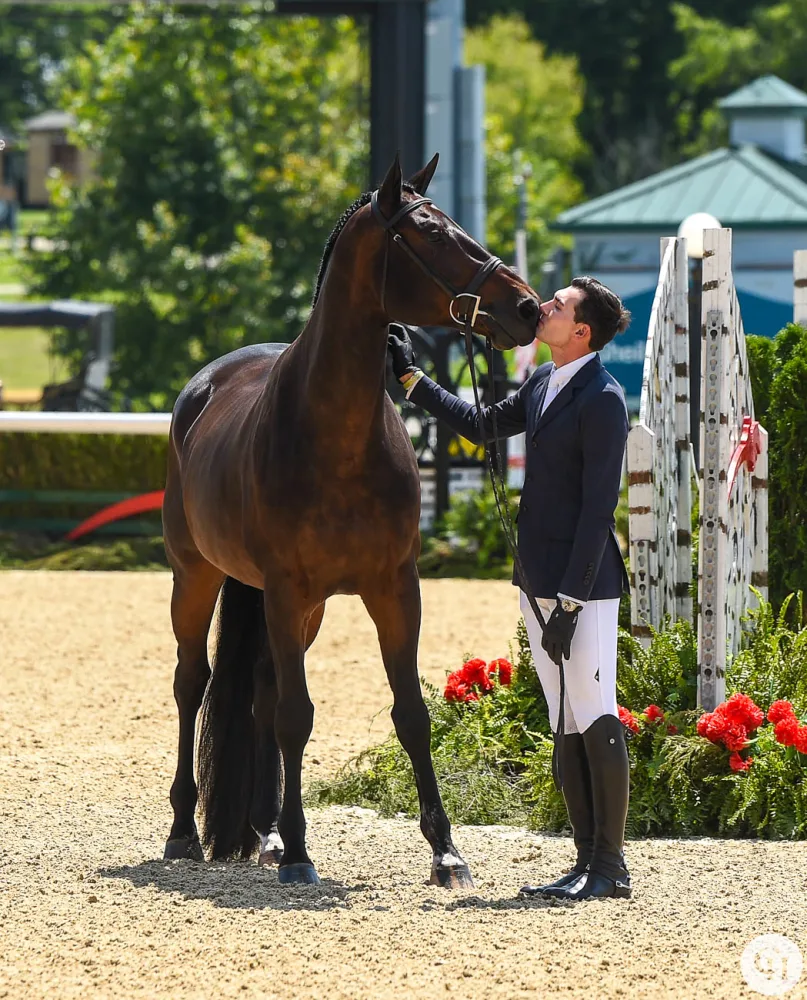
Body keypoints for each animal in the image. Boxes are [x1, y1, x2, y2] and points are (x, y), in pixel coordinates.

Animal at [163, 152, 544, 888]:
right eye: (430, 233)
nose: (526, 306)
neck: (335, 436)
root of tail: (202, 388)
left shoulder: (395, 587)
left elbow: (411, 715)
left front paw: (446, 852)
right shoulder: (286, 589)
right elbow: (297, 716)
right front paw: (302, 854)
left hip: (298, 609)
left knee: (259, 693)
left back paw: (264, 833)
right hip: (197, 578)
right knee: (193, 683)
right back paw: (185, 833)